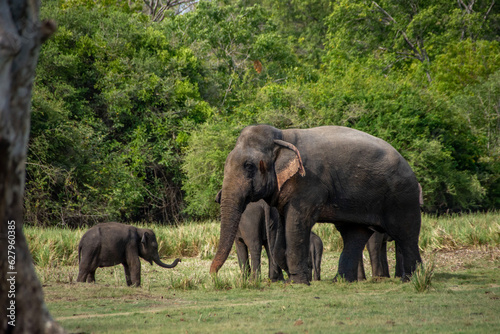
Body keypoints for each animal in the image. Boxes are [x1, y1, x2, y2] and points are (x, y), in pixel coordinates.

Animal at [209, 124, 420, 284]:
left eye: (249, 166)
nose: (213, 277)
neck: (282, 136)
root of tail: (406, 162)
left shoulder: (307, 183)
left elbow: (297, 224)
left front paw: (297, 282)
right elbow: (282, 232)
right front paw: (292, 279)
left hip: (402, 196)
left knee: (406, 234)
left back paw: (412, 279)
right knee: (355, 235)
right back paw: (340, 281)